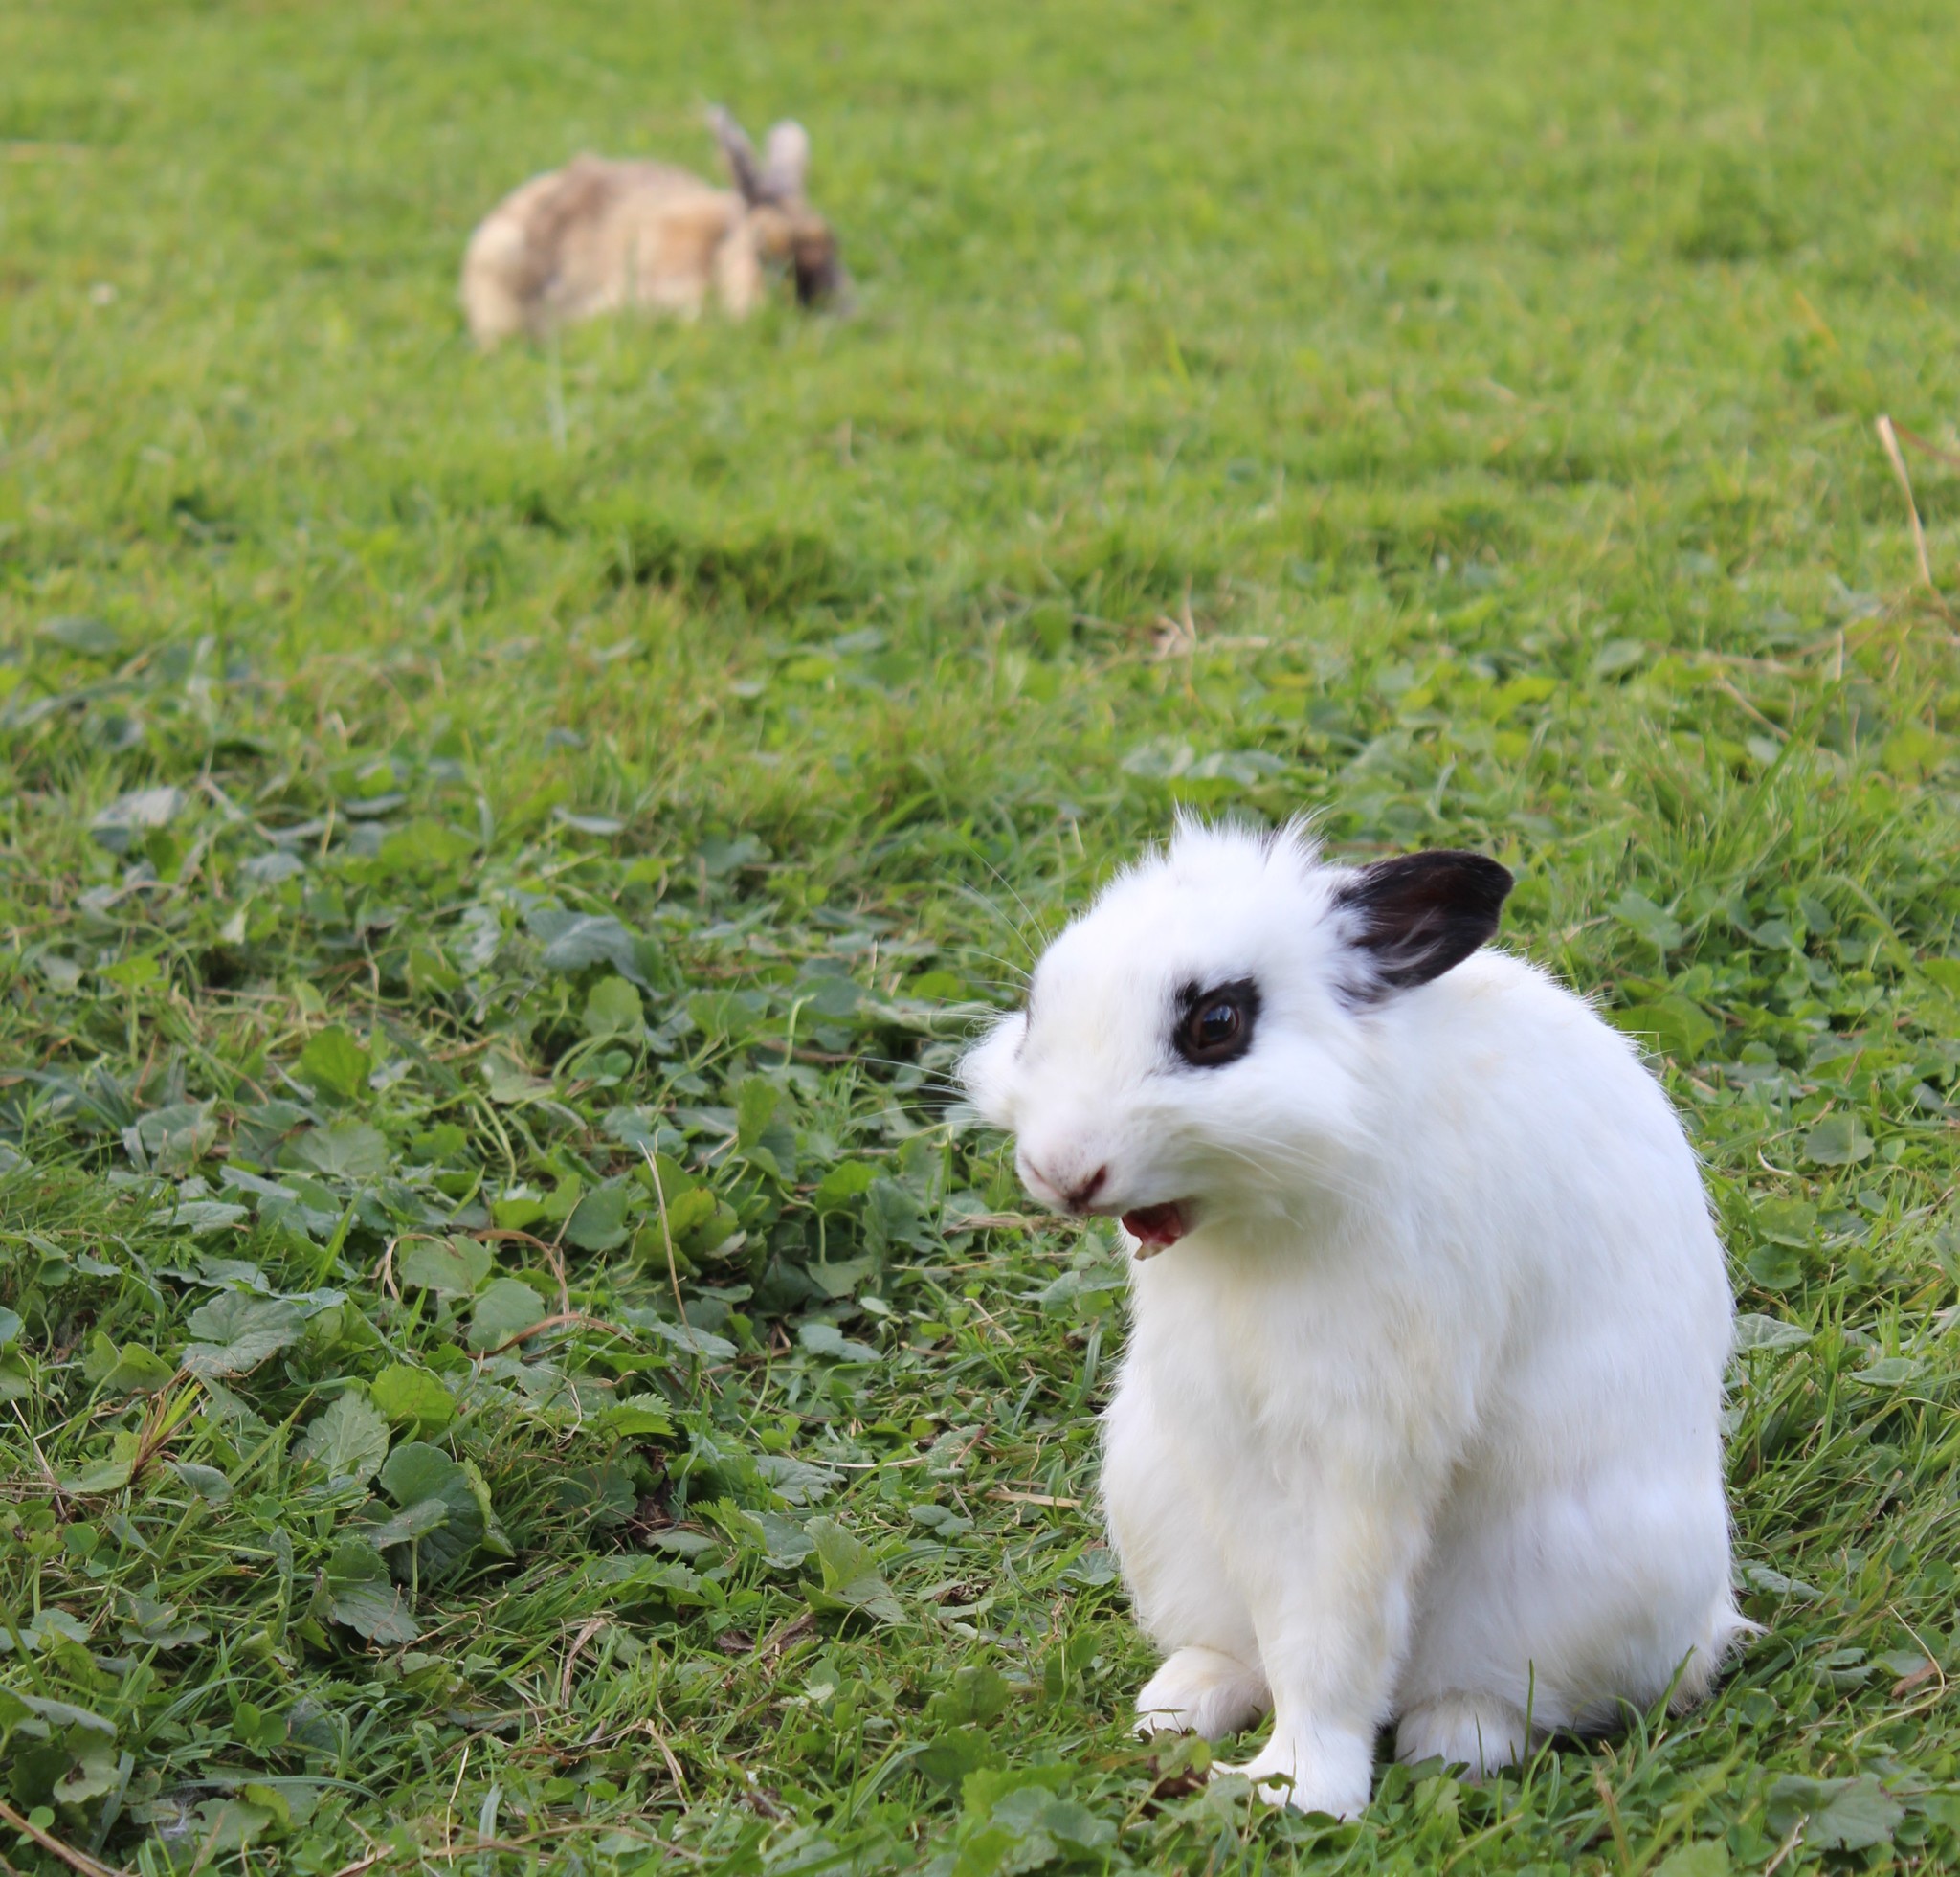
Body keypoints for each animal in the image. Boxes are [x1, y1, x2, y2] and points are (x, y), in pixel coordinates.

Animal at [964, 822, 1748, 1818]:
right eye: (1035, 1004)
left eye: (1216, 1024)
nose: (1063, 1170)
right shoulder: (1228, 1437)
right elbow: (1286, 1614)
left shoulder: (1361, 1438)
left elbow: (1329, 1629)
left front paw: (1296, 1787)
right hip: (1155, 1499)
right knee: (1238, 1645)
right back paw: (1176, 1707)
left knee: (1503, 1694)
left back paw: (1456, 1738)